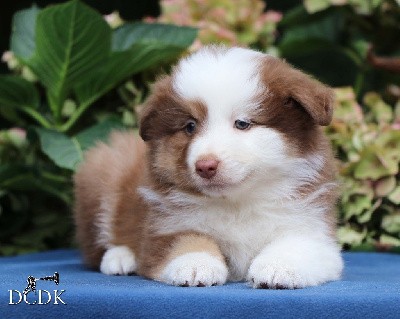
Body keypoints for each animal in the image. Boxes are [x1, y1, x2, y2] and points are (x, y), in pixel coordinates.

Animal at [75, 45, 344, 290]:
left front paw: (279, 267)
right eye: (190, 126)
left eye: (242, 123)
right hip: (102, 175)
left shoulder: (310, 225)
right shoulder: (167, 226)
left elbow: (298, 244)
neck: (237, 204)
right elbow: (187, 241)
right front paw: (196, 265)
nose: (205, 166)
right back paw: (120, 257)